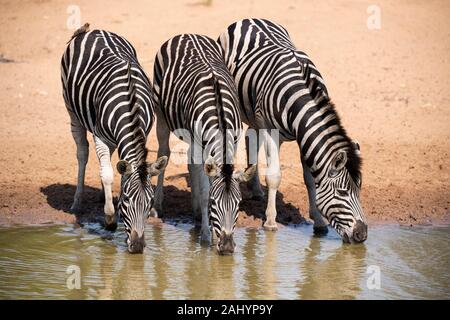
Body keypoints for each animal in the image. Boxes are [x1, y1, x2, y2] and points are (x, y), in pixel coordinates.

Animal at [59, 24, 166, 252]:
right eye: (126, 201)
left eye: (150, 204)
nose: (137, 247)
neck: (130, 106)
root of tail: (93, 30)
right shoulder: (100, 136)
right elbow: (108, 174)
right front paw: (109, 219)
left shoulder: (141, 133)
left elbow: (115, 170)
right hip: (71, 109)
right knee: (83, 153)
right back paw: (77, 203)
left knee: (108, 159)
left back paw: (101, 194)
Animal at [153, 34, 255, 255]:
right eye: (216, 203)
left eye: (239, 203)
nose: (227, 247)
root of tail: (187, 34)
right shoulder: (202, 149)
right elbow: (204, 191)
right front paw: (207, 237)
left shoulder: (231, 145)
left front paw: (210, 229)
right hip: (161, 114)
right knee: (164, 152)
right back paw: (157, 207)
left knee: (191, 163)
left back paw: (196, 214)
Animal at [219, 18, 370, 242]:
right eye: (343, 193)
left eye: (359, 190)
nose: (362, 235)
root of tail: (249, 19)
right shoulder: (271, 131)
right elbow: (274, 176)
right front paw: (270, 222)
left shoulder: (305, 137)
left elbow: (310, 179)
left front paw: (318, 221)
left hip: (254, 114)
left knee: (249, 137)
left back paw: (256, 189)